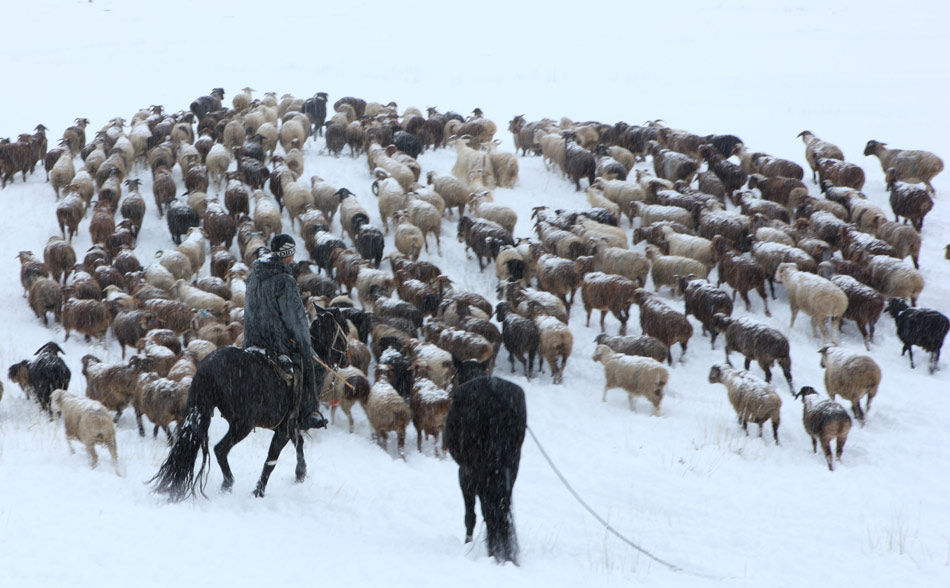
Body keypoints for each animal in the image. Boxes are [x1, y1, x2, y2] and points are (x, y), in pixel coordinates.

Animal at [152, 304, 350, 500]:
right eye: (344, 329)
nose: (347, 360)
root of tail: (208, 367)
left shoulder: (288, 426)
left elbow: (298, 444)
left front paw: (300, 474)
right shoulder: (284, 429)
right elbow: (272, 459)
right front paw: (259, 491)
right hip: (243, 425)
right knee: (220, 449)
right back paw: (228, 483)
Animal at [446, 376, 528, 564]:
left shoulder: (465, 475)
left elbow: (470, 516)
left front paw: (467, 544)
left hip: (476, 472)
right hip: (510, 467)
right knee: (500, 510)